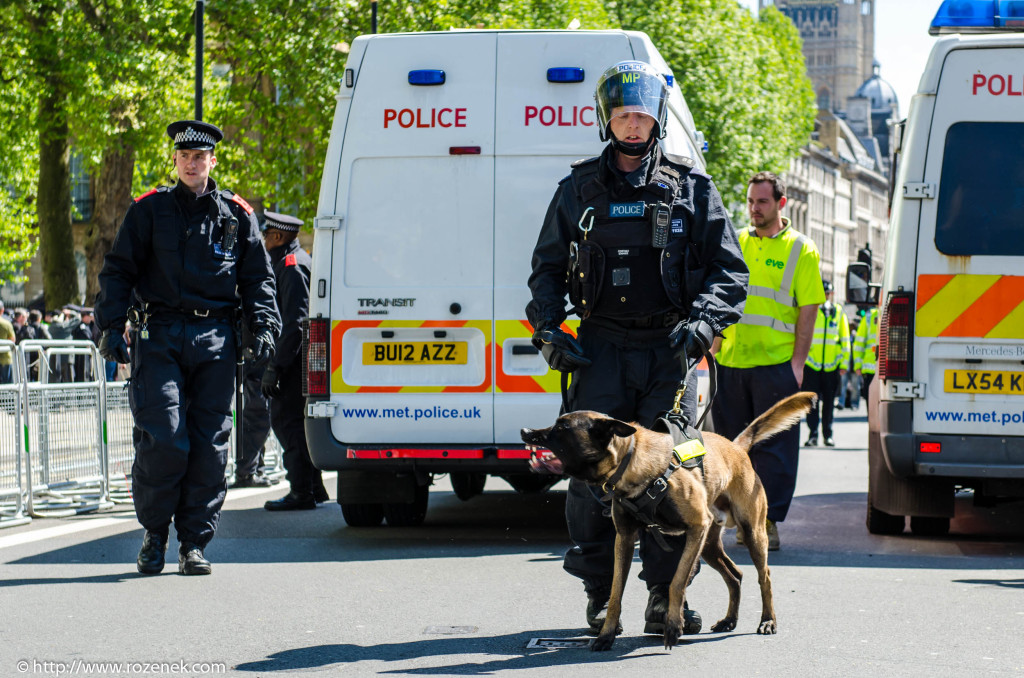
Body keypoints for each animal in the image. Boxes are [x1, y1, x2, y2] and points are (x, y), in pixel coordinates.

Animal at [520, 393, 815, 655]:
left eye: (562, 427)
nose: (525, 430)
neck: (632, 461)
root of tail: (736, 447)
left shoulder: (696, 528)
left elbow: (676, 582)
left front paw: (673, 625)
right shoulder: (625, 539)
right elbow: (616, 592)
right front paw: (606, 634)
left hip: (750, 534)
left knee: (764, 577)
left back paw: (768, 621)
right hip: (709, 546)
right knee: (735, 575)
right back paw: (730, 620)